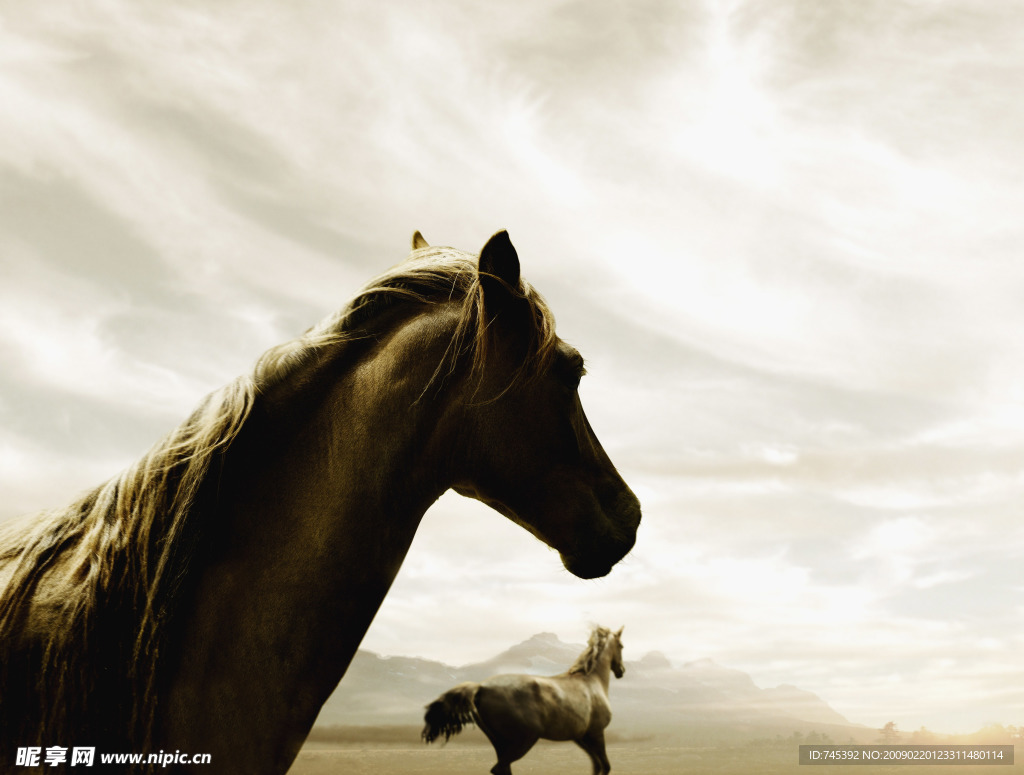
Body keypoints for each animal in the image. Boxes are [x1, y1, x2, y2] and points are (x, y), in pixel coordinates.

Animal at [421, 622, 622, 773]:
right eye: (621, 646)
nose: (621, 671)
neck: (592, 681)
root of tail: (480, 688)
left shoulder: (582, 737)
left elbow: (597, 766)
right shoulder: (596, 733)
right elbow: (605, 766)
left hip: (500, 742)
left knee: (502, 768)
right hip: (524, 739)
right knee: (499, 768)